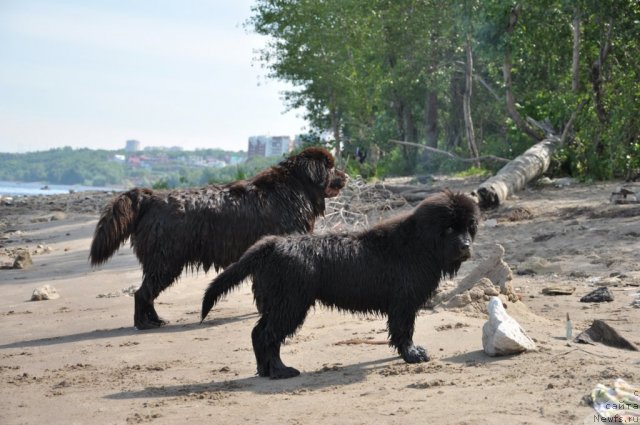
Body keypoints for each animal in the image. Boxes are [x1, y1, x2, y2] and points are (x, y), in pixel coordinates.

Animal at [89, 147, 344, 330]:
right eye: (331, 168)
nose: (347, 175)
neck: (294, 189)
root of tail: (151, 199)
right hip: (165, 262)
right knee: (142, 293)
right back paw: (144, 324)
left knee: (146, 293)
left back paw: (154, 320)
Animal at [201, 189, 480, 378]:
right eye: (449, 229)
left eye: (469, 226)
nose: (466, 247)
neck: (419, 244)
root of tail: (272, 244)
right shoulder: (404, 303)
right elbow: (404, 331)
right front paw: (413, 355)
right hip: (290, 304)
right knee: (269, 335)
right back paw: (281, 370)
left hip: (277, 304)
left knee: (258, 333)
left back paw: (265, 370)